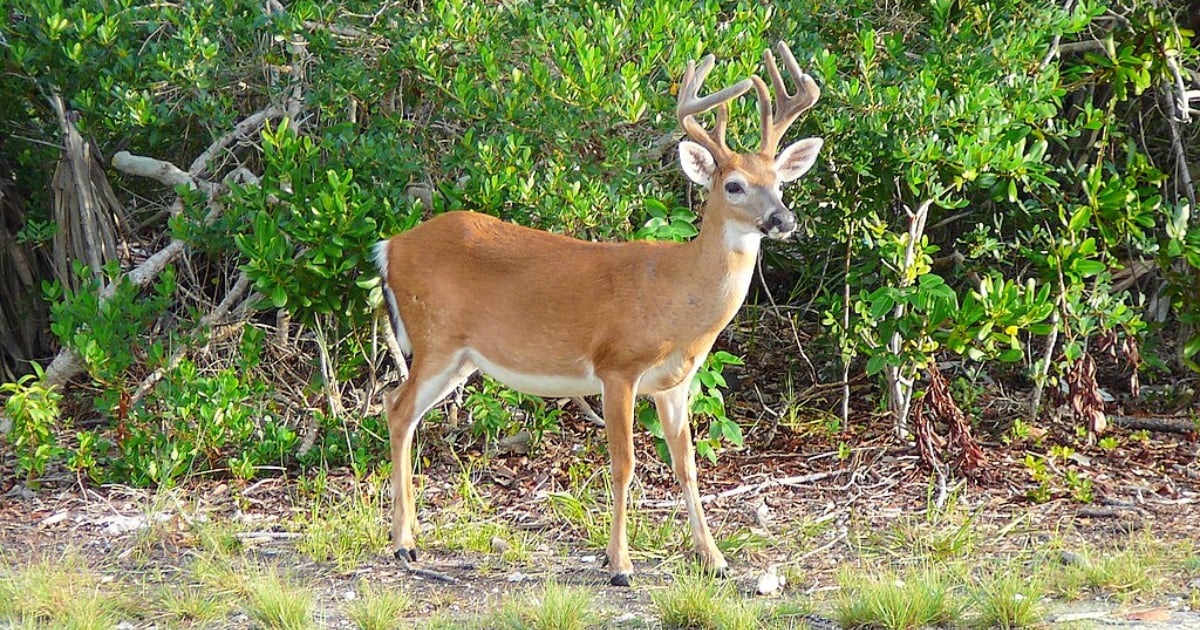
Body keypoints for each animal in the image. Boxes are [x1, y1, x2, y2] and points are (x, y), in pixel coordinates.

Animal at [376, 42, 825, 585]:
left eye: (780, 182)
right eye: (734, 185)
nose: (783, 219)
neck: (677, 296)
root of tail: (389, 247)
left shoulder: (674, 383)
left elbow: (686, 463)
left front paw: (714, 559)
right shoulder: (618, 366)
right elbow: (624, 463)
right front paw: (620, 564)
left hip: (459, 357)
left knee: (401, 411)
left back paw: (411, 538)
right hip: (435, 338)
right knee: (397, 407)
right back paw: (401, 545)